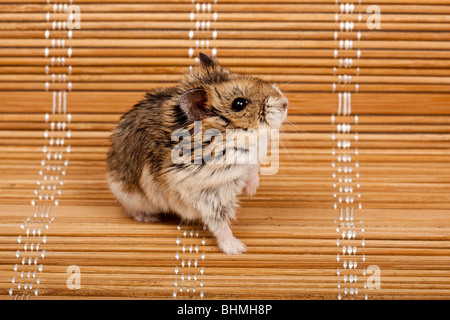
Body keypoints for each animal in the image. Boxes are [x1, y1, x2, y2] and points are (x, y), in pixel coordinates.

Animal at [105, 52, 288, 254]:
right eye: (239, 104)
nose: (285, 103)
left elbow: (253, 170)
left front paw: (251, 190)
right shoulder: (207, 194)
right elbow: (219, 223)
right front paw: (237, 248)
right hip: (128, 195)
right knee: (132, 210)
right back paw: (149, 218)